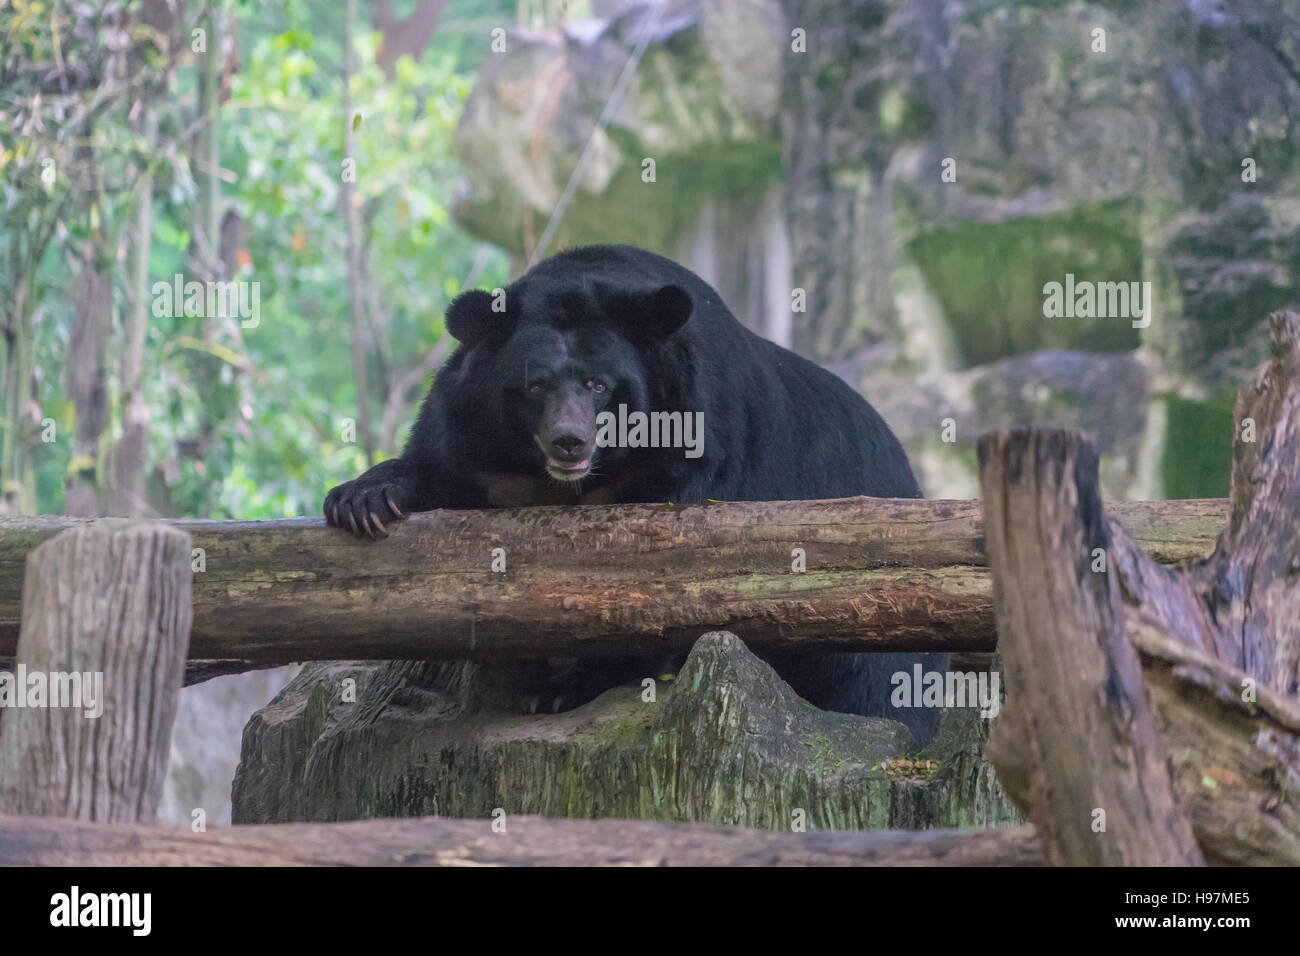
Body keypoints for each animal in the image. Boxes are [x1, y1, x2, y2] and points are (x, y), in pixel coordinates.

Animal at [325, 244, 943, 738]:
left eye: (599, 385)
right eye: (534, 386)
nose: (568, 442)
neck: (579, 480)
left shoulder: (702, 444)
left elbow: (659, 589)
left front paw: (563, 689)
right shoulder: (476, 444)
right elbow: (438, 472)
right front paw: (361, 503)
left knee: (874, 682)